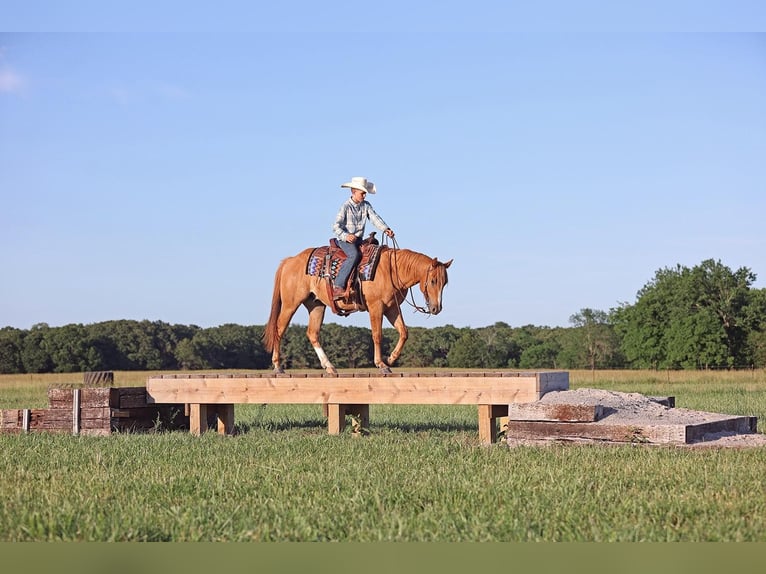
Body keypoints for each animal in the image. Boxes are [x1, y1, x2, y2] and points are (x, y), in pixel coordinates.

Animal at [266, 244, 452, 376]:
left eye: (445, 283)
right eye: (433, 280)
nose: (436, 308)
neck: (392, 270)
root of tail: (290, 261)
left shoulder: (392, 308)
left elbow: (403, 332)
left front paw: (391, 358)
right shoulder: (376, 306)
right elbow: (377, 335)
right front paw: (382, 365)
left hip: (316, 305)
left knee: (312, 333)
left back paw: (329, 367)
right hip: (290, 304)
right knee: (279, 329)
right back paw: (278, 366)